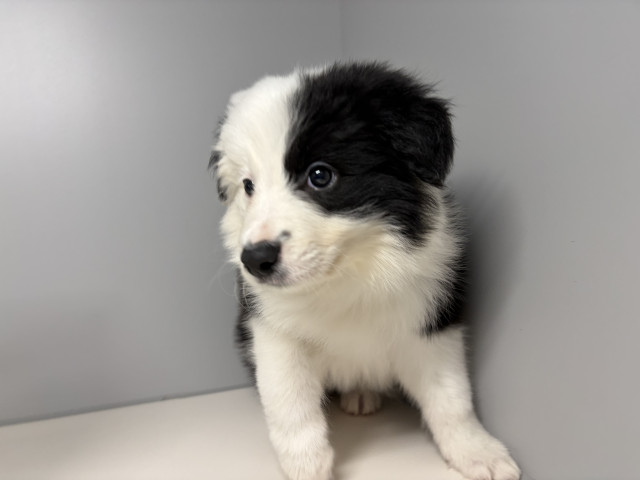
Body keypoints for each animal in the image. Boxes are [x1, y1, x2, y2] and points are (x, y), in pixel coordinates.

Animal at [210, 62, 520, 480]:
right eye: (248, 185)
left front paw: (478, 450)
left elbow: (452, 397)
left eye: (320, 175)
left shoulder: (430, 320)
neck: (347, 277)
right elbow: (289, 402)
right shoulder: (272, 330)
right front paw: (306, 464)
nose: (255, 260)